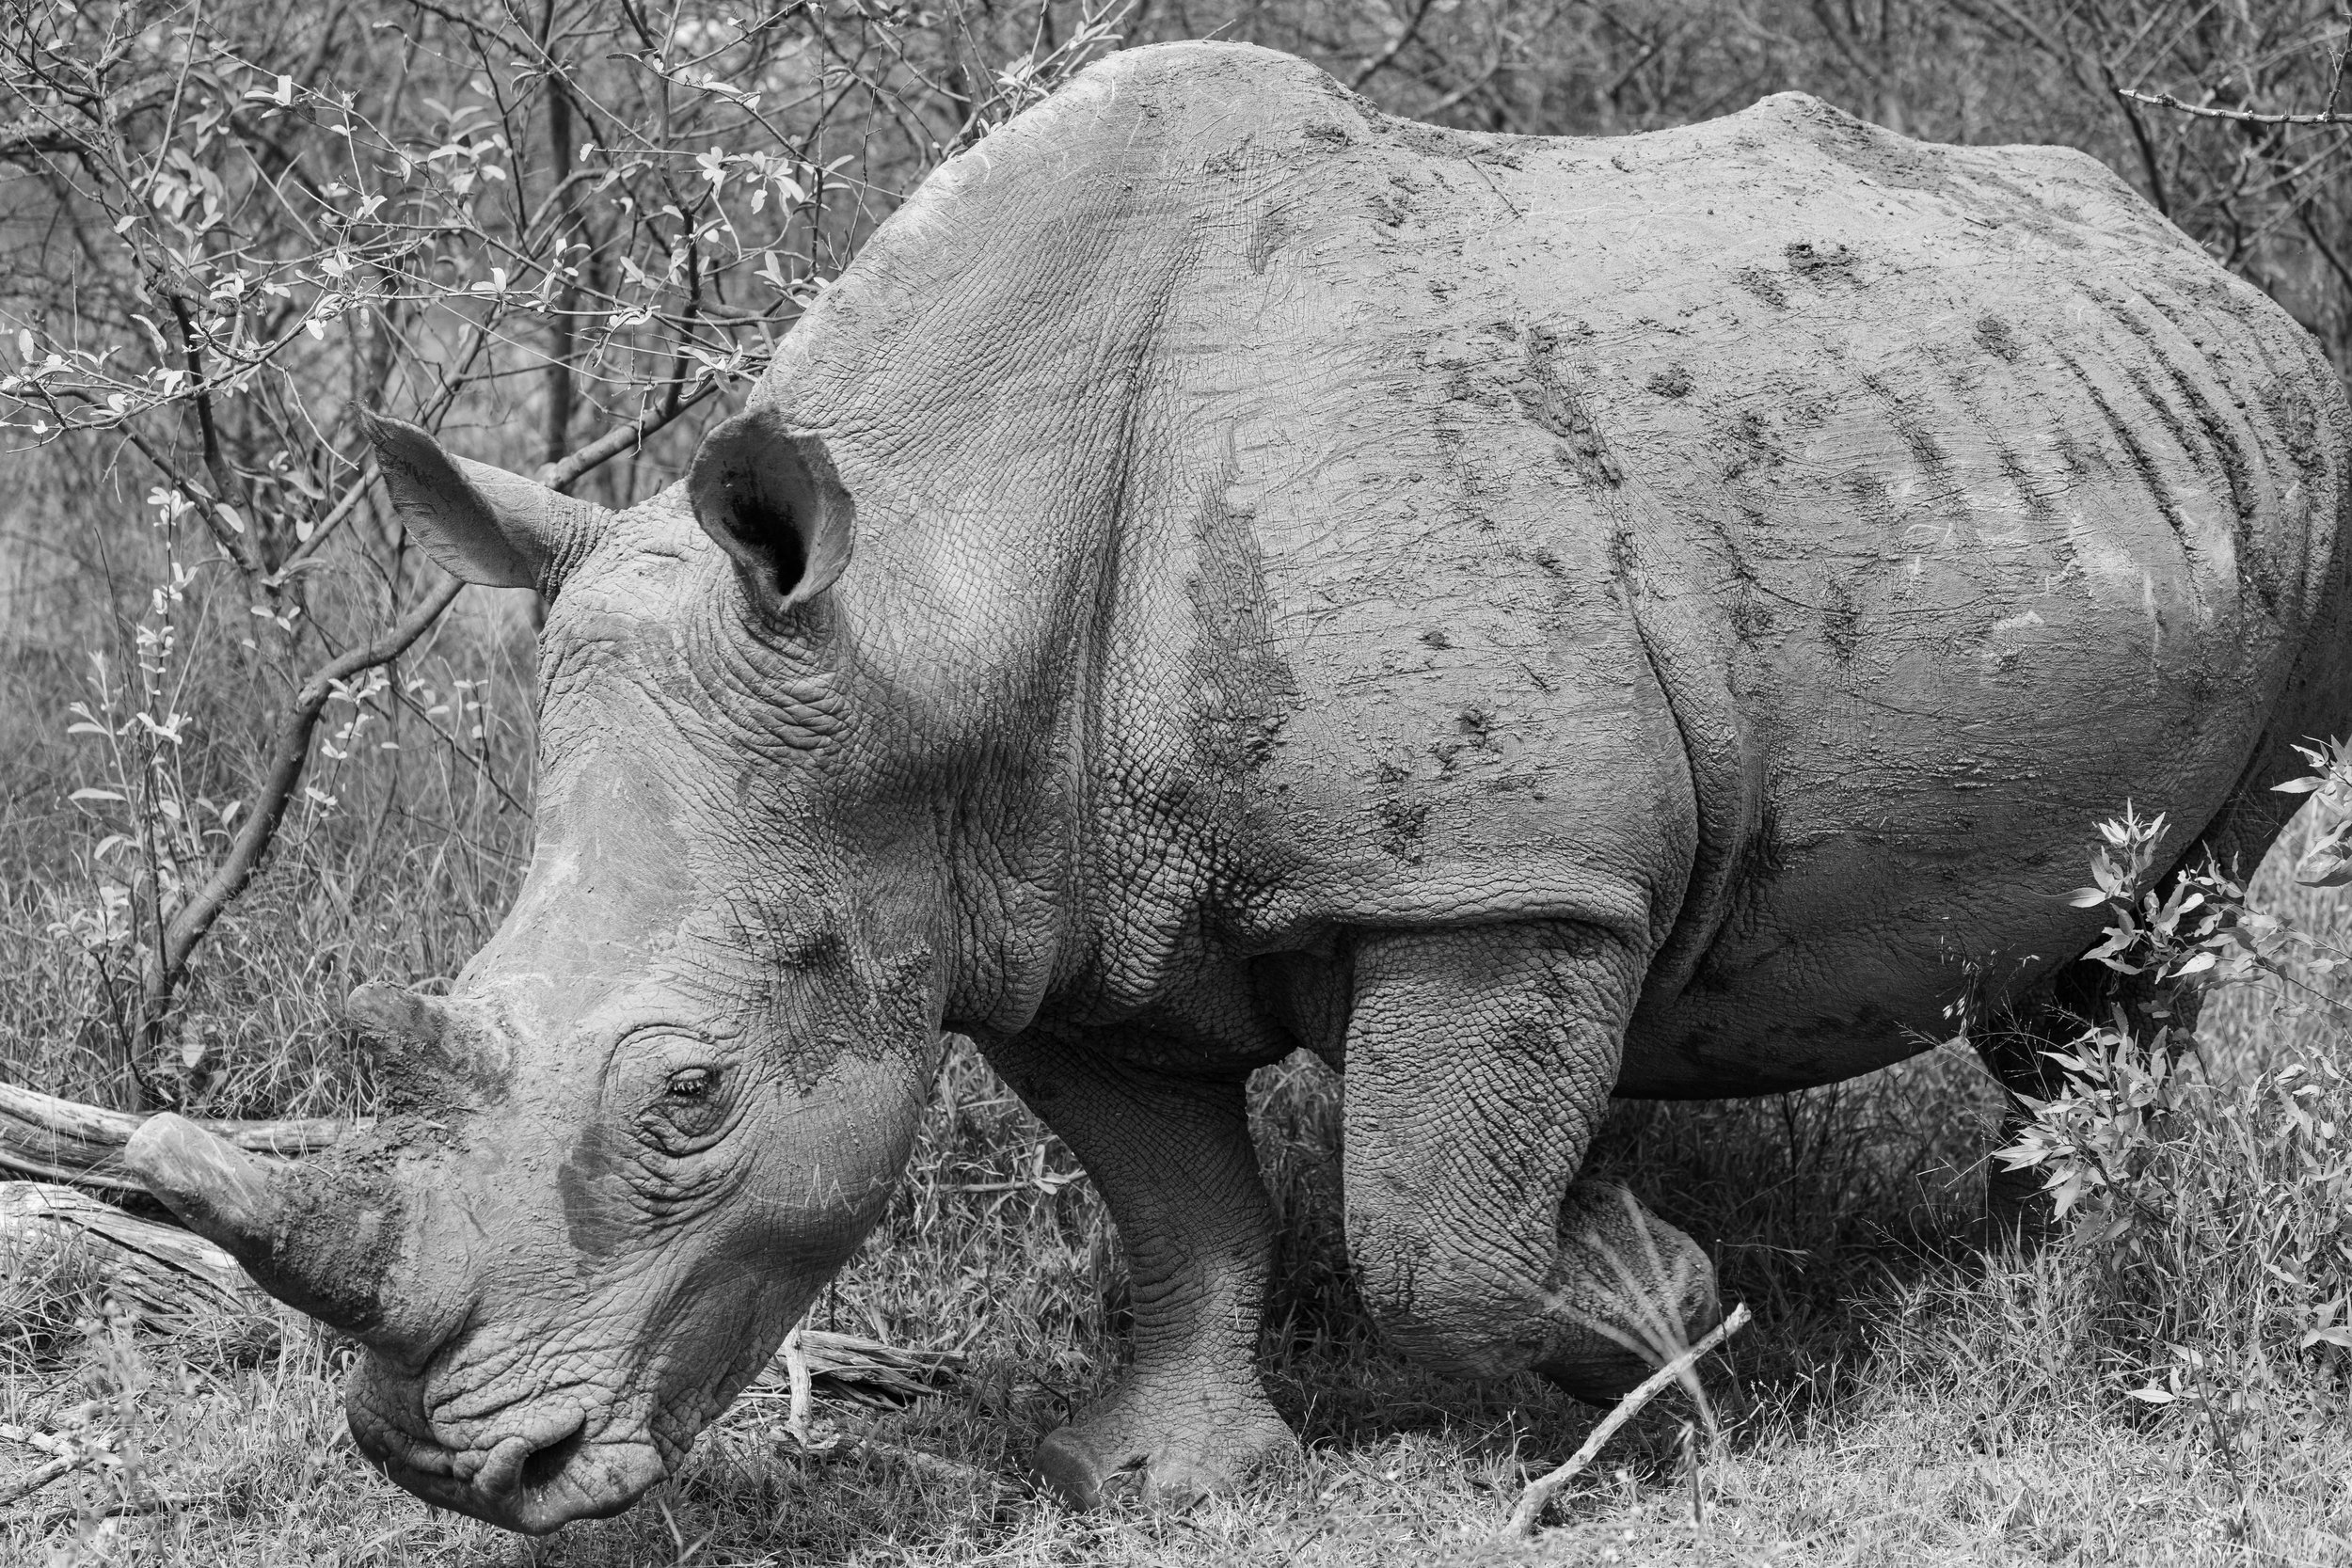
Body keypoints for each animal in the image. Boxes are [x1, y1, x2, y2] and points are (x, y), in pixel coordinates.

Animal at [125, 40, 2350, 1532]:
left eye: (692, 1094)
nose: (448, 1462)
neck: (930, 605)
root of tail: (2204, 268)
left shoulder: (1496, 879)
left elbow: (1429, 1228)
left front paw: (1665, 1330)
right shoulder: (1030, 894)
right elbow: (1180, 1205)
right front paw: (1157, 1472)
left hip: (2305, 472)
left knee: (2185, 909)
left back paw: (2039, 1274)